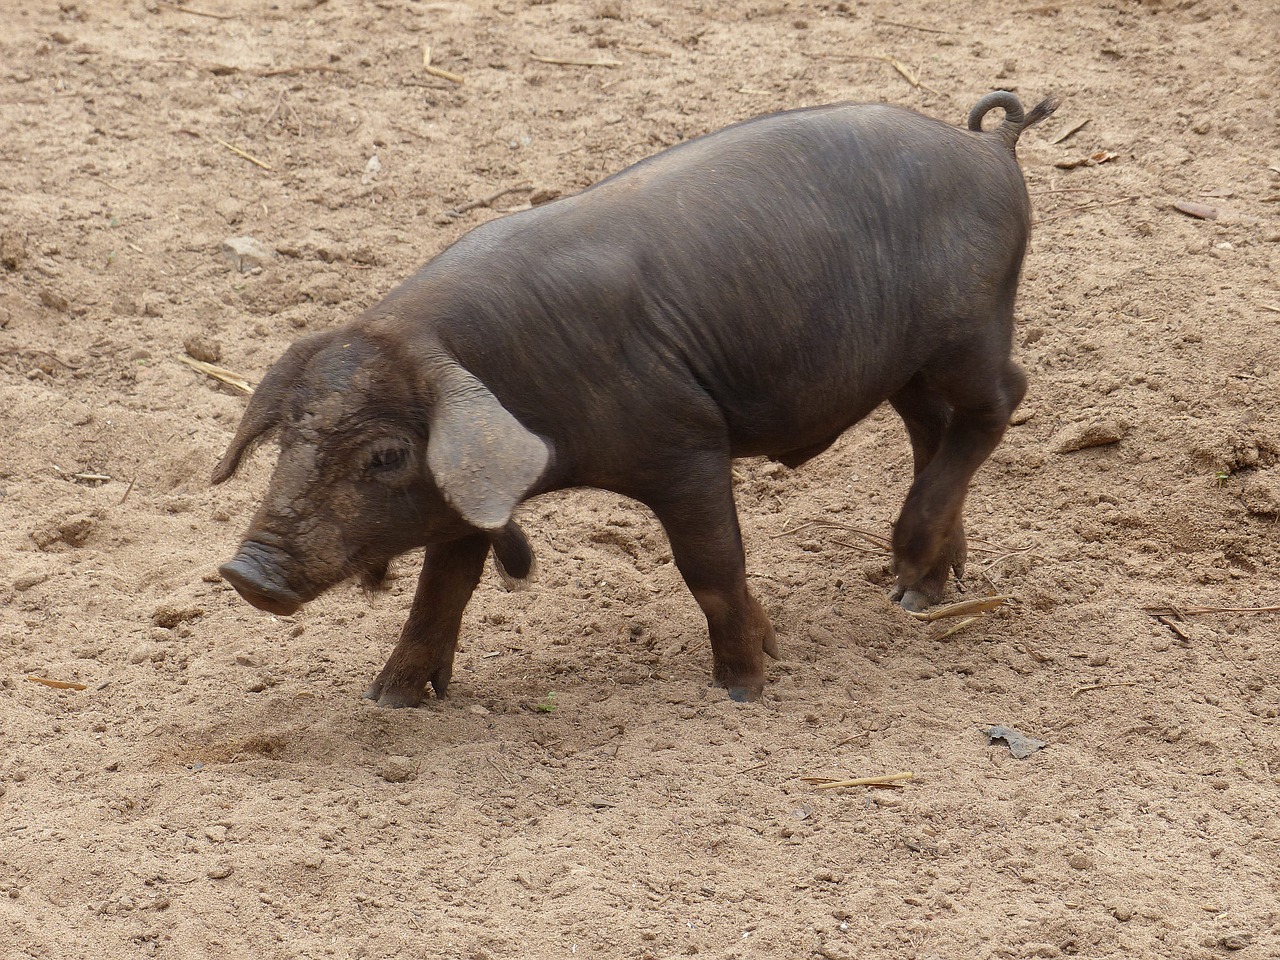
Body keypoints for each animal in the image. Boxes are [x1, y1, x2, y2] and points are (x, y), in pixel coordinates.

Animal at [215, 90, 1059, 706]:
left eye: (387, 454)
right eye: (288, 436)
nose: (246, 573)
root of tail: (991, 147)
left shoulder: (687, 445)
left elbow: (711, 568)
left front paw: (745, 688)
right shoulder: (466, 488)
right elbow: (440, 591)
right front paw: (388, 700)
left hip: (968, 331)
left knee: (999, 399)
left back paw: (908, 571)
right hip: (906, 367)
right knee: (931, 428)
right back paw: (918, 591)